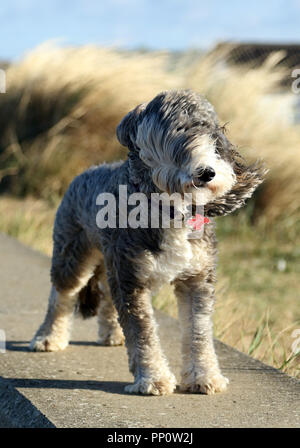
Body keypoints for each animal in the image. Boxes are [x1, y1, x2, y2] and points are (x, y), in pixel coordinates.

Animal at [30, 88, 264, 396]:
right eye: (176, 137)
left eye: (212, 138)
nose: (207, 172)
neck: (171, 212)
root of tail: (84, 173)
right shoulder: (132, 279)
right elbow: (142, 332)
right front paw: (153, 379)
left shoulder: (197, 280)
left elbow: (199, 331)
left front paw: (204, 377)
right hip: (73, 254)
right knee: (61, 294)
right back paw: (47, 337)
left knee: (106, 295)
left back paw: (113, 334)